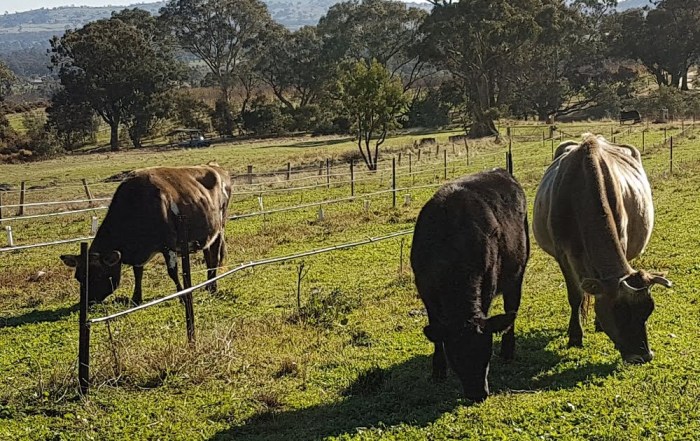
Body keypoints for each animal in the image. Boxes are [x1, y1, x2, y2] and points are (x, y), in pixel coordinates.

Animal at [60, 163, 230, 304]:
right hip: (207, 234)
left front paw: (182, 296)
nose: (87, 302)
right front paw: (136, 297)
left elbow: (172, 272)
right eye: (78, 277)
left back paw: (213, 287)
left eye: (98, 276)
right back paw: (208, 285)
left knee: (214, 257)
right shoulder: (138, 254)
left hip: (219, 229)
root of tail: (214, 166)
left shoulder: (168, 245)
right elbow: (138, 272)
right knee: (208, 257)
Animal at [408, 169, 528, 402]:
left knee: (512, 309)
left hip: (517, 274)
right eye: (456, 357)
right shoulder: (425, 291)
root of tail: (501, 171)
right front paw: (438, 370)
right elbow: (437, 332)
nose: (478, 393)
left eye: (486, 352)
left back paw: (508, 351)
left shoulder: (487, 285)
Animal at [532, 136, 668, 362]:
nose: (643, 355)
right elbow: (575, 296)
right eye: (619, 311)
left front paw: (598, 324)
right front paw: (575, 336)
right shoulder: (563, 256)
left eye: (648, 311)